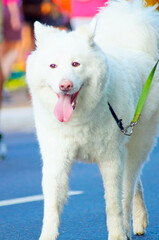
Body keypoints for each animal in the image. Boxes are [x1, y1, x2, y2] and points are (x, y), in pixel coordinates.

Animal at [26, 0, 159, 239]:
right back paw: (138, 222)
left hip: (137, 145)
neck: (78, 119)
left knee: (128, 188)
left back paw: (128, 227)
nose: (65, 85)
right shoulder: (56, 158)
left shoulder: (110, 159)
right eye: (53, 66)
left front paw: (117, 234)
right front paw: (47, 235)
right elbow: (51, 205)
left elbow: (113, 203)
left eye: (76, 64)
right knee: (135, 184)